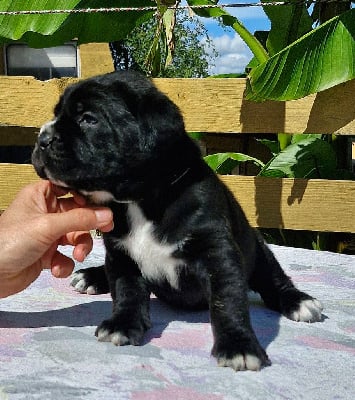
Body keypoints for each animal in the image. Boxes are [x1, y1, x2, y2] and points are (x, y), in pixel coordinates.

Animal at [32, 71, 324, 372]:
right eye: (56, 114)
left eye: (88, 118)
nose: (42, 138)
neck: (141, 201)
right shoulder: (121, 255)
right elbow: (127, 290)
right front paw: (122, 323)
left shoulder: (218, 253)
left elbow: (227, 301)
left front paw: (238, 345)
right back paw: (91, 276)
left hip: (257, 248)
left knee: (272, 278)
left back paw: (299, 301)